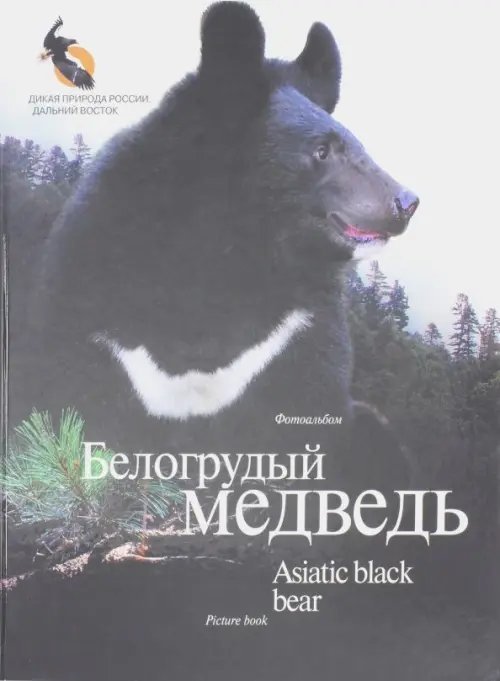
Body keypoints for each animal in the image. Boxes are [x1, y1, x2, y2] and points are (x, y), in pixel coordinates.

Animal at [18, 1, 419, 511]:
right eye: (322, 150)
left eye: (358, 143)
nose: (405, 203)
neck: (235, 250)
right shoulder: (90, 307)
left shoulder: (297, 335)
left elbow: (310, 417)